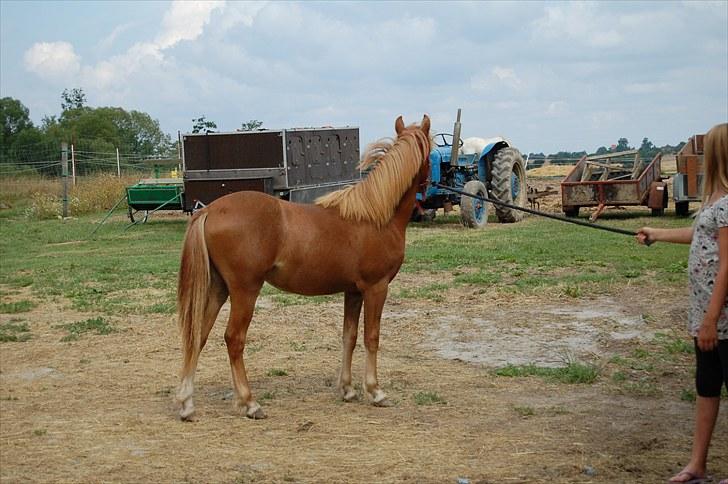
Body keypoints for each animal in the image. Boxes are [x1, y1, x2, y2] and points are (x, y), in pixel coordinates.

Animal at [176, 115, 432, 418]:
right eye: (431, 155)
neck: (375, 217)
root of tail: (209, 210)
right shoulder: (375, 288)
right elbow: (372, 337)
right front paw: (375, 391)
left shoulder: (353, 292)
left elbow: (349, 336)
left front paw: (347, 389)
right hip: (245, 290)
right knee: (234, 339)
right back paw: (250, 403)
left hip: (218, 289)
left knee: (198, 336)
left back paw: (186, 403)